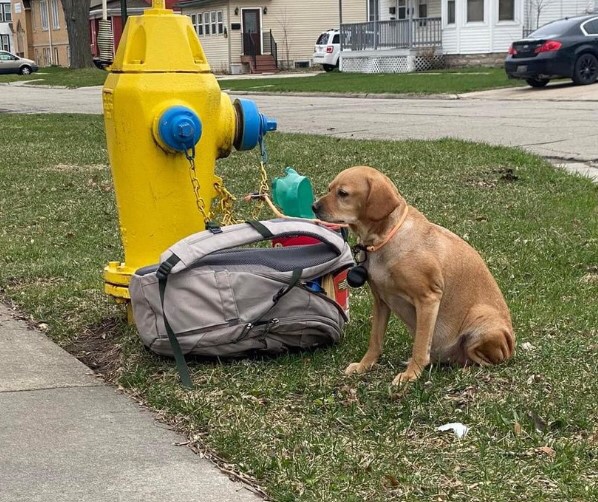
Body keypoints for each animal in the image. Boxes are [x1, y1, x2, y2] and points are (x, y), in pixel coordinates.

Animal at [314, 167, 516, 382]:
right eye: (329, 188)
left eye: (343, 193)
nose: (313, 206)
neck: (385, 239)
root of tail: (511, 346)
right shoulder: (381, 301)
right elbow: (375, 340)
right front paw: (364, 365)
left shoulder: (428, 298)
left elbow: (419, 346)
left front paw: (410, 375)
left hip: (481, 322)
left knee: (485, 361)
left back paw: (465, 370)